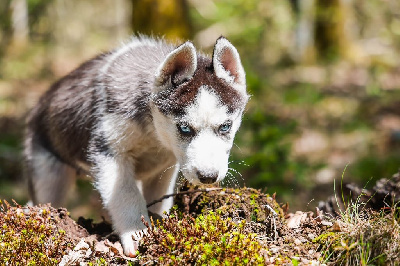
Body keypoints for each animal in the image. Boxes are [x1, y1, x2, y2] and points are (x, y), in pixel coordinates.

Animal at [24, 35, 247, 256]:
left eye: (226, 126)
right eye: (184, 128)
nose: (208, 177)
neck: (154, 132)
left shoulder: (163, 169)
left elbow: (159, 201)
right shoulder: (109, 152)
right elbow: (126, 195)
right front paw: (137, 234)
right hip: (49, 175)